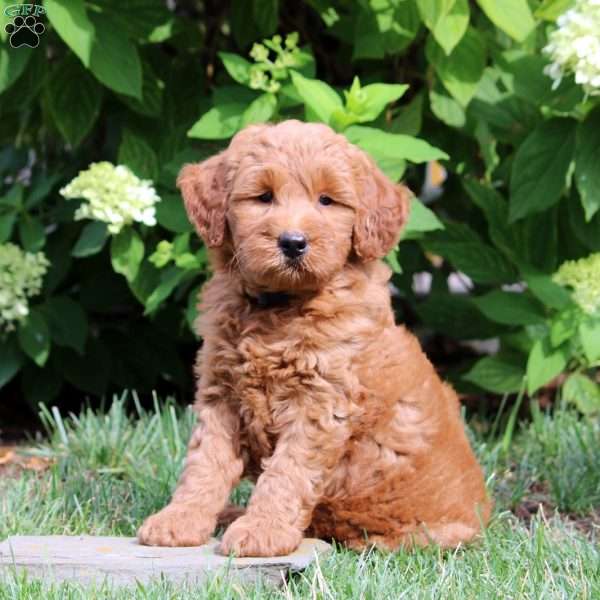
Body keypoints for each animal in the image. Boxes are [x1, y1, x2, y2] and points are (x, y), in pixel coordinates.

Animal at [139, 118, 492, 556]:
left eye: (327, 201)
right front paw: (180, 520)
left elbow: (286, 474)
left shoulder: (319, 405)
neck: (279, 309)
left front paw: (263, 531)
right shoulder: (221, 394)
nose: (293, 242)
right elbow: (205, 463)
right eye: (263, 196)